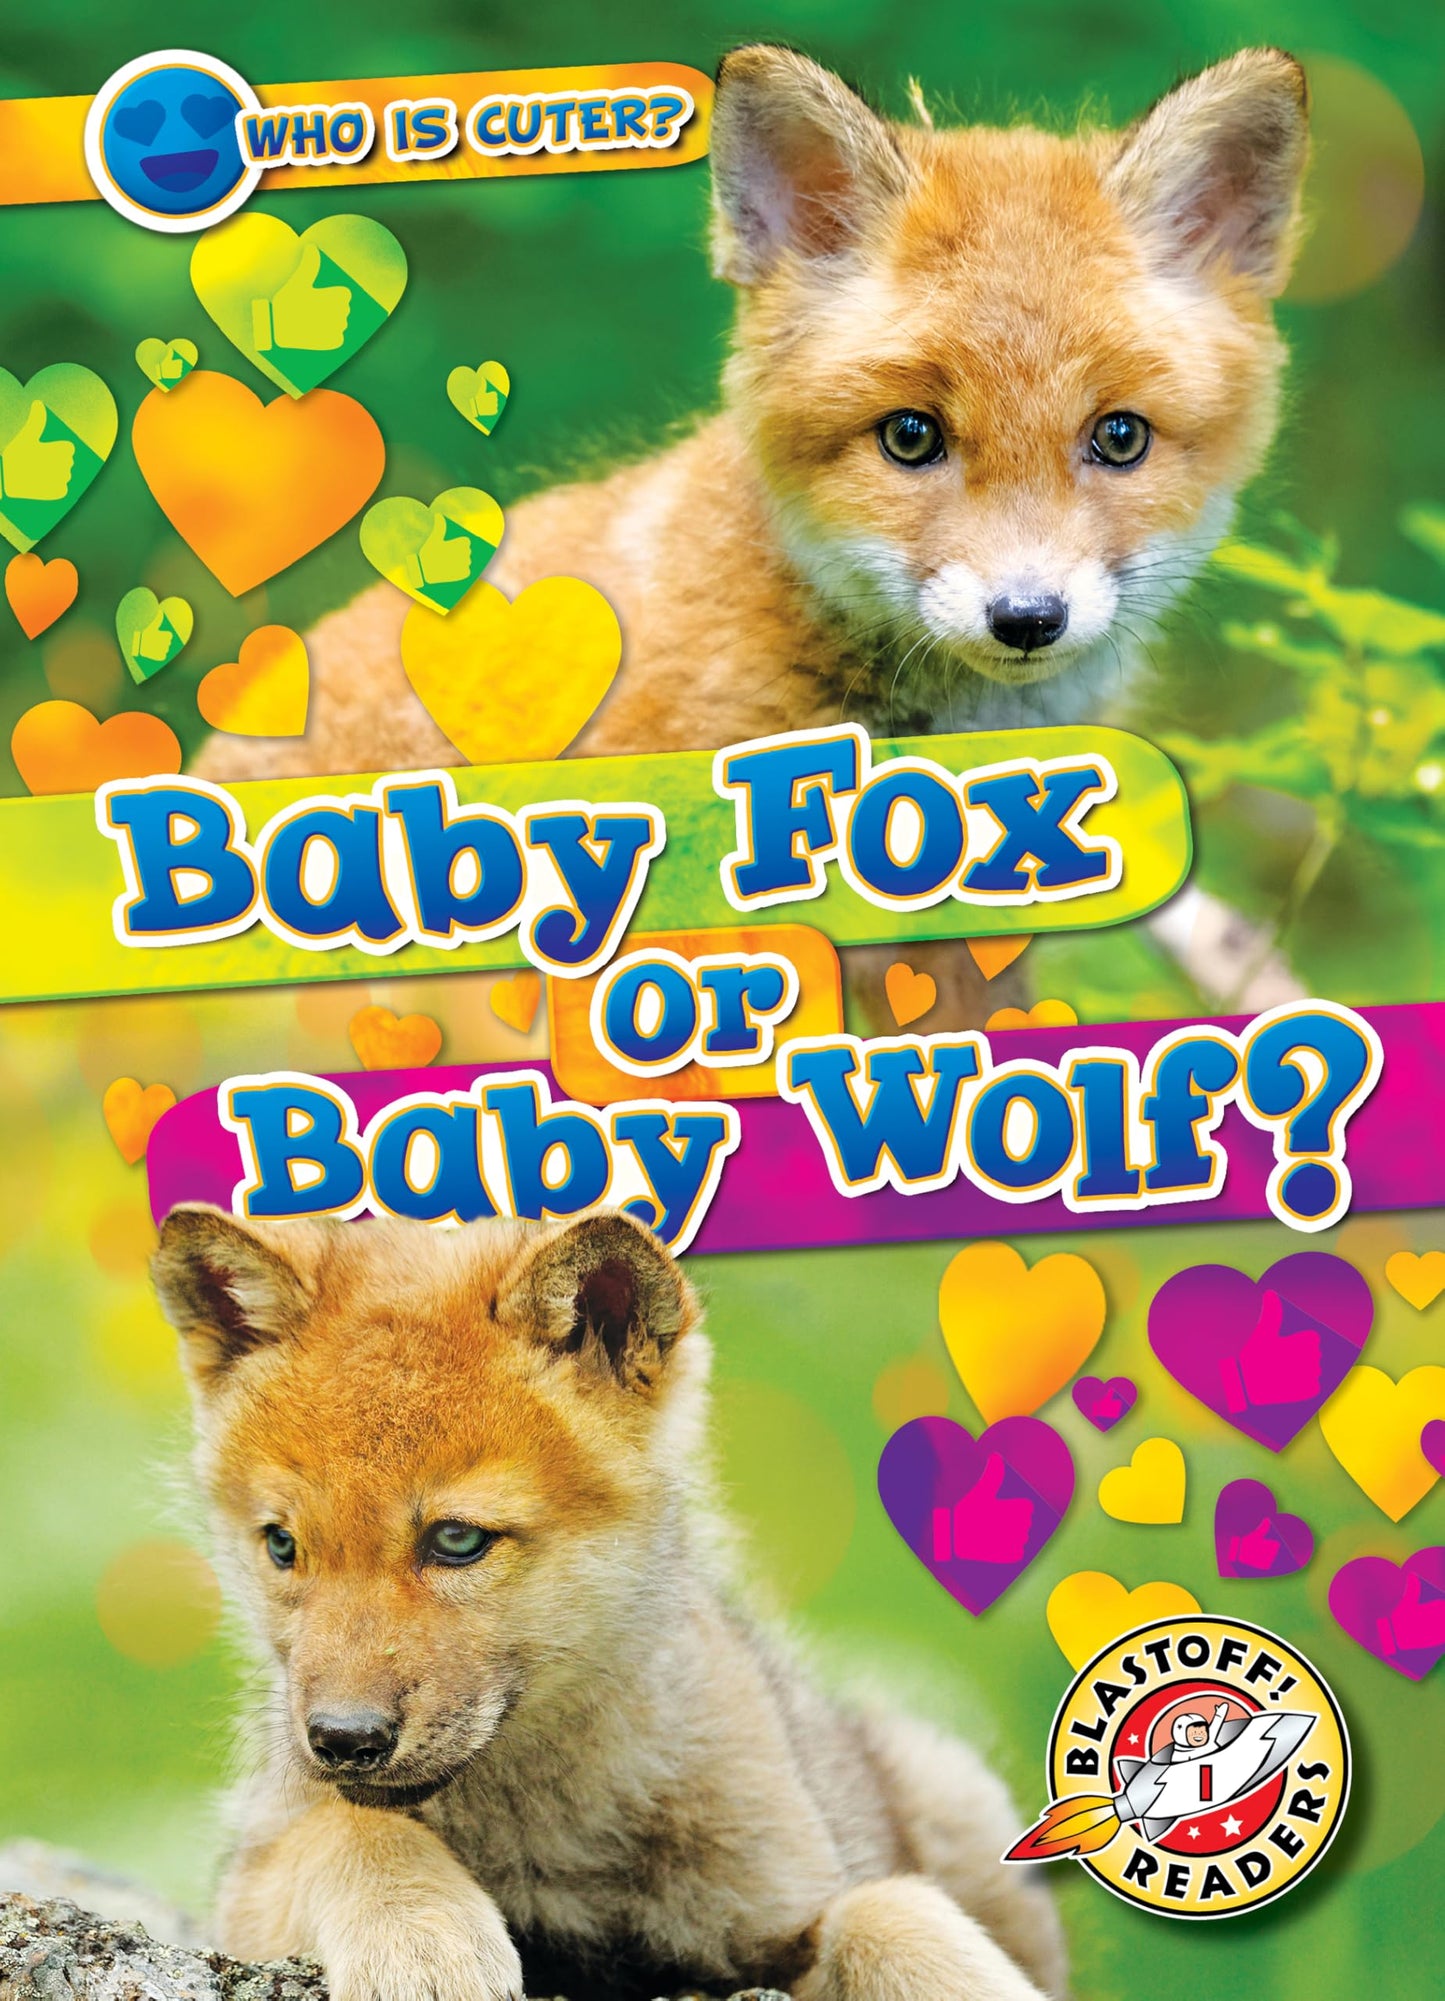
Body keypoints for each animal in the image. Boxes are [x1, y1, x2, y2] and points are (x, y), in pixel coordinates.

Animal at [153, 1201, 1069, 2001]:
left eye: (457, 1539)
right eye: (282, 1545)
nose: (343, 1740)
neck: (545, 1829)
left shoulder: (778, 1918)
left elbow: (888, 1906)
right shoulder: (253, 1874)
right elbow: (349, 1831)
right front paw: (421, 1941)